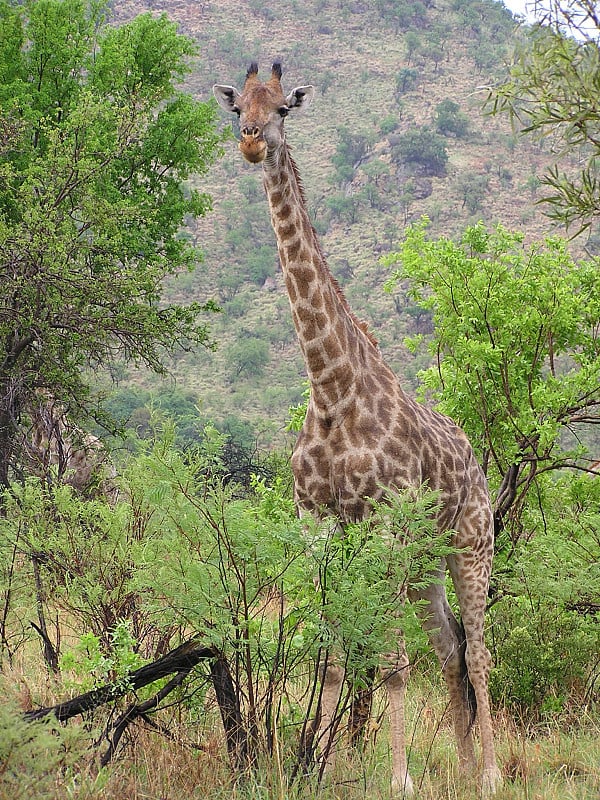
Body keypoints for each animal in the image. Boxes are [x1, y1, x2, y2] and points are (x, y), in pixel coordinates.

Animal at [213, 62, 504, 792]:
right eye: (237, 106)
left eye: (284, 107)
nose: (251, 141)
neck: (331, 386)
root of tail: (477, 460)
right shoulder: (318, 524)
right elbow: (340, 652)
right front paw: (317, 769)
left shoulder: (385, 524)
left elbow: (391, 662)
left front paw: (397, 779)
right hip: (427, 558)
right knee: (449, 645)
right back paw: (461, 767)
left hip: (469, 542)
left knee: (478, 649)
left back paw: (490, 774)